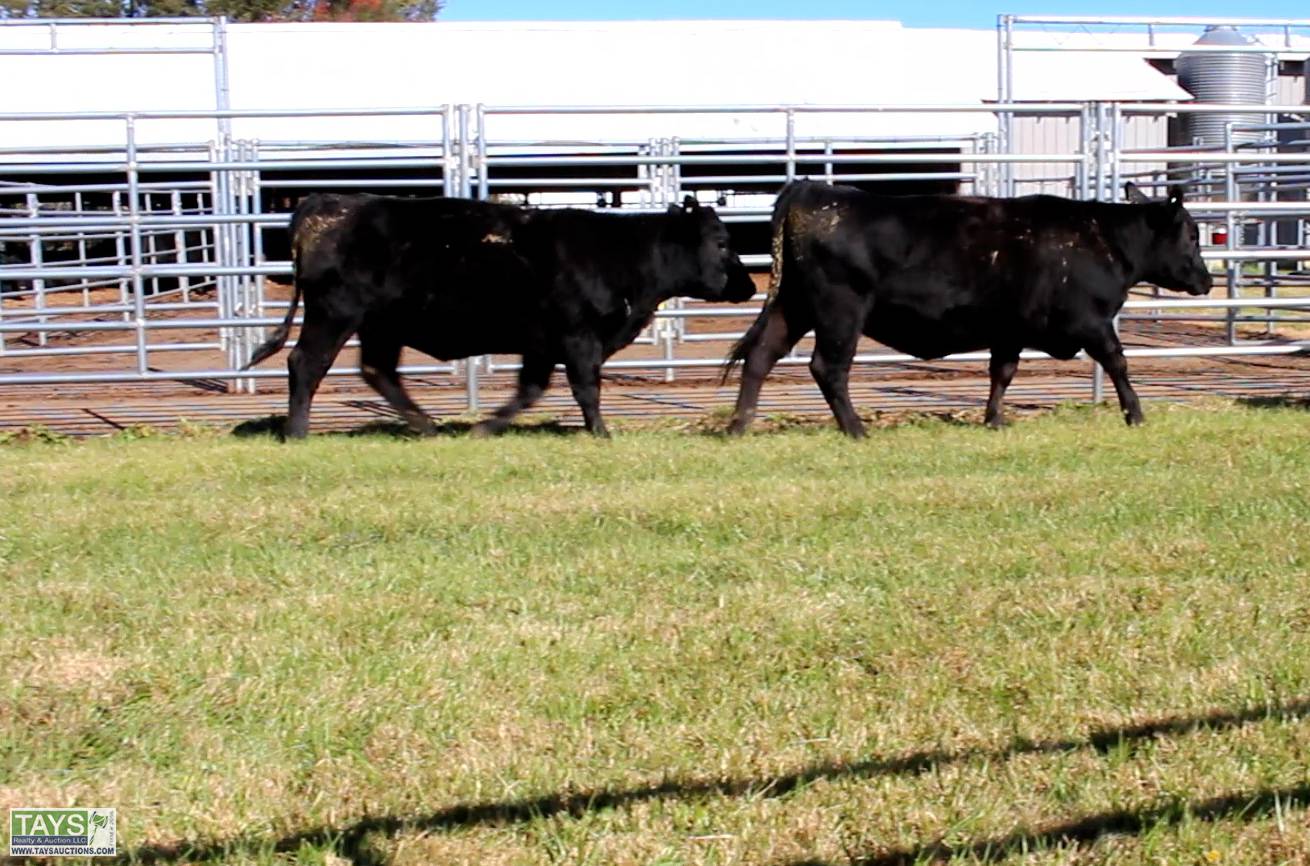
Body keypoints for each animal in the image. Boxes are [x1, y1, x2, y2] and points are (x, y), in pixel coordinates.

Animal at [245, 193, 756, 439]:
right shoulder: (579, 338)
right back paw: (297, 432)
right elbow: (586, 390)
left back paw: (427, 426)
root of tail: (328, 205)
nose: (749, 285)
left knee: (378, 371)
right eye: (722, 243)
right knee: (306, 365)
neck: (621, 253)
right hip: (334, 316)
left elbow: (530, 391)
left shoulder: (542, 345)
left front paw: (485, 427)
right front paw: (602, 432)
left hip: (381, 326)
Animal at [722, 180, 1213, 437]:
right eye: (1191, 234)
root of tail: (813, 190)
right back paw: (856, 429)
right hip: (840, 310)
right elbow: (1118, 363)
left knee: (761, 356)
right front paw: (1136, 414)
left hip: (794, 306)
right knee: (828, 368)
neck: (1101, 238)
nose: (1207, 280)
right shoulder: (1092, 322)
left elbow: (1003, 373)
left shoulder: (1010, 329)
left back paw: (739, 426)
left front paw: (994, 419)